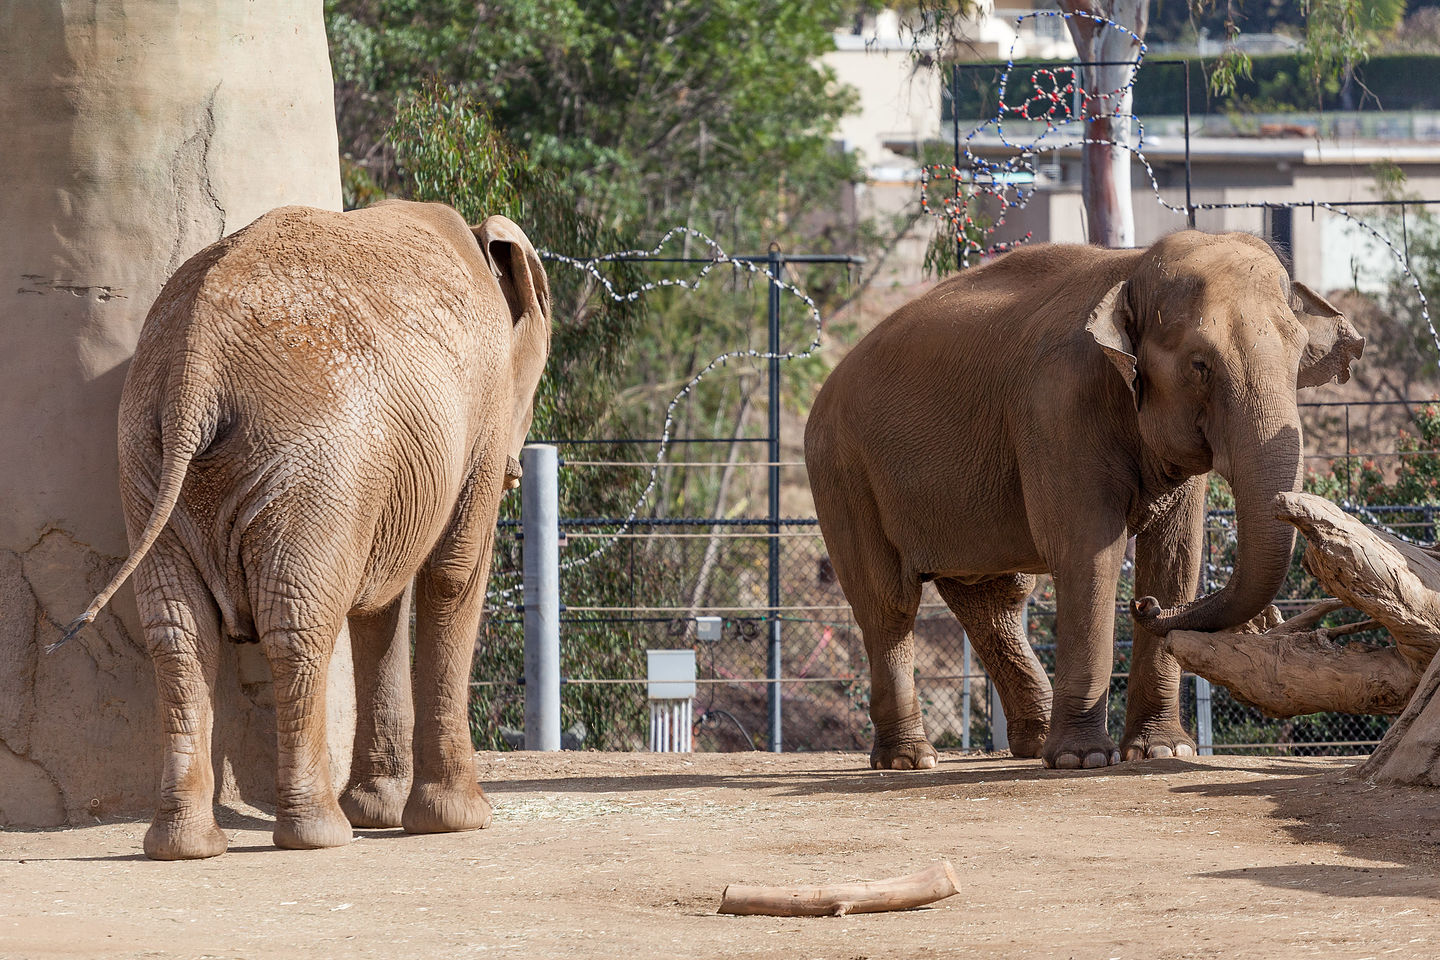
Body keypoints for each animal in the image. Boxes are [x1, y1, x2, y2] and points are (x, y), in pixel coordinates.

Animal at [62, 200, 550, 858]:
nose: (517, 470)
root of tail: (195, 368)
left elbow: (380, 601)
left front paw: (381, 813)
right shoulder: (485, 413)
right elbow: (453, 573)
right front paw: (459, 821)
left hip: (146, 453)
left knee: (180, 634)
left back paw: (187, 846)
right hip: (314, 460)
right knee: (296, 625)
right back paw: (320, 834)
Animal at [804, 230, 1364, 771]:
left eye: (1296, 360)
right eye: (1200, 365)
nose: (1144, 606)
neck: (1132, 268)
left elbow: (1176, 555)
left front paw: (1162, 751)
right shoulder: (1056, 408)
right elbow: (1090, 554)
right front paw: (1085, 759)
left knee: (994, 598)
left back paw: (1030, 746)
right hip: (843, 471)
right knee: (889, 602)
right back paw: (911, 759)